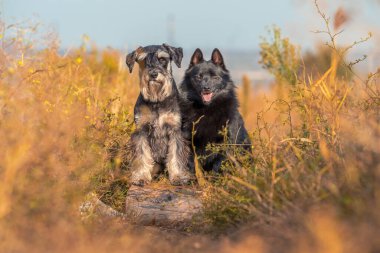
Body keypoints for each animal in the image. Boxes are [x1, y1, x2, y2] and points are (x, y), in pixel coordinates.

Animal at [125, 43, 190, 186]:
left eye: (162, 59)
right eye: (143, 60)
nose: (153, 74)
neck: (157, 101)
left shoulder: (174, 130)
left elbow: (176, 154)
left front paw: (178, 176)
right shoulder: (141, 131)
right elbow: (142, 154)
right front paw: (141, 177)